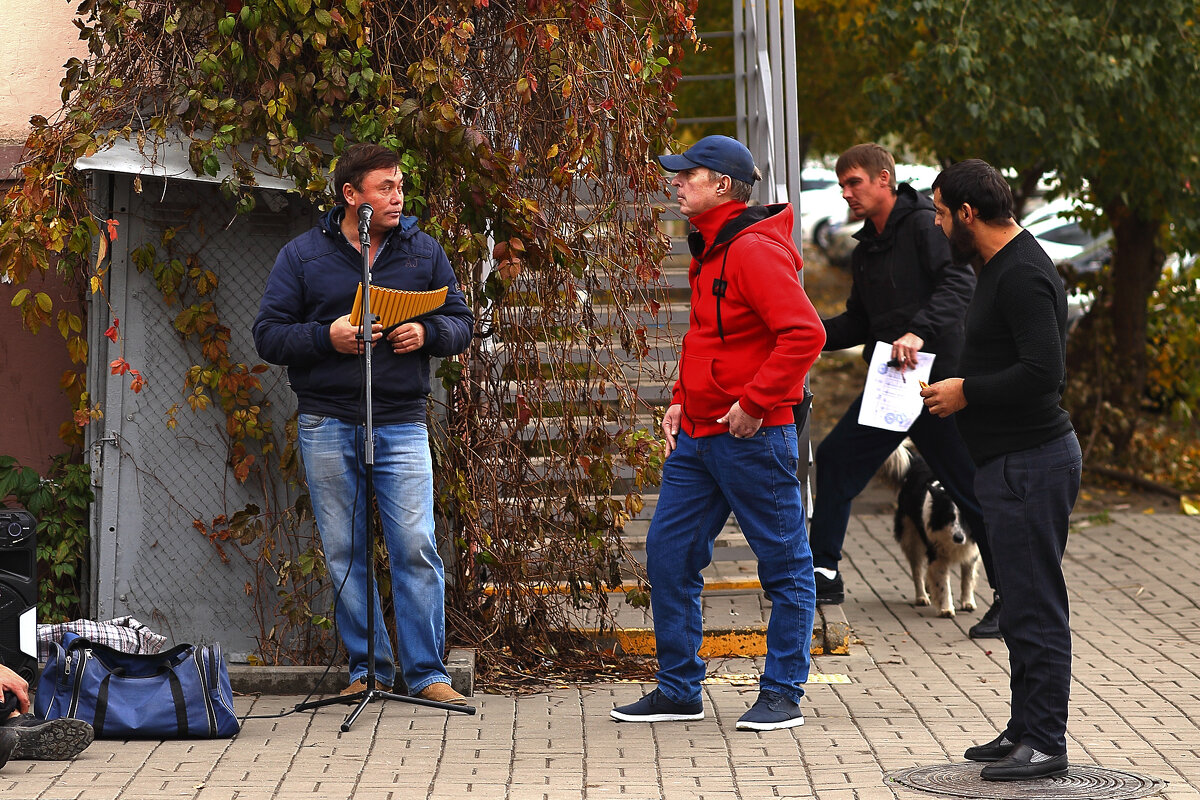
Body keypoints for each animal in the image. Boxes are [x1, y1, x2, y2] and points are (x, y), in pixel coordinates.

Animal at [883, 441, 974, 618]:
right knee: (916, 569)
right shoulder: (937, 552)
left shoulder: (972, 549)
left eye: (967, 518)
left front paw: (967, 602)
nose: (958, 538)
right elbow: (943, 583)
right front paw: (946, 608)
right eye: (949, 517)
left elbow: (967, 577)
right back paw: (922, 596)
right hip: (911, 536)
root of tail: (918, 462)